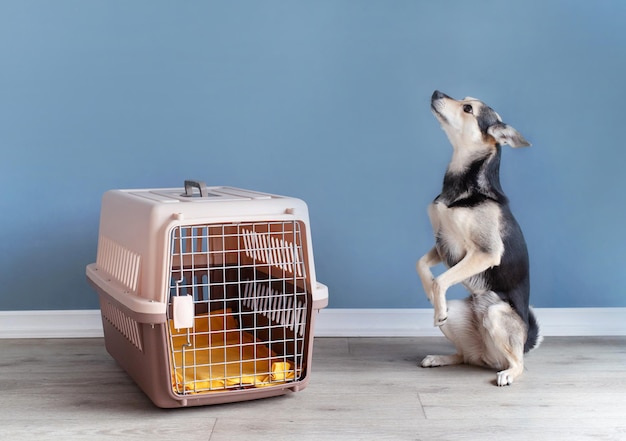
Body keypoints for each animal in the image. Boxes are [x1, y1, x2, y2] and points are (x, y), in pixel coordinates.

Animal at [414, 90, 540, 384]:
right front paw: (430, 295)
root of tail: (489, 358)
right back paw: (439, 357)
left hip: (495, 313)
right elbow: (421, 265)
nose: (436, 92)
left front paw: (436, 305)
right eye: (464, 100)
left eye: (468, 108)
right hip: (462, 320)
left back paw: (508, 374)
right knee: (465, 356)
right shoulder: (443, 242)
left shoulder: (483, 253)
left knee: (518, 364)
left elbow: (441, 280)